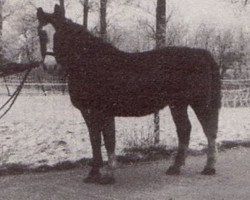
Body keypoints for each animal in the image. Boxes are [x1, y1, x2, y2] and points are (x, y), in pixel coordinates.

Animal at [36, 4, 221, 185]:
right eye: (41, 33)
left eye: (60, 34)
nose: (50, 66)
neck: (92, 64)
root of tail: (200, 53)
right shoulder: (88, 112)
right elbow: (95, 140)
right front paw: (93, 174)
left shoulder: (104, 112)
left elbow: (109, 140)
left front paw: (109, 175)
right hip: (178, 104)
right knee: (184, 129)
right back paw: (175, 167)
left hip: (200, 103)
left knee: (209, 130)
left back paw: (209, 168)